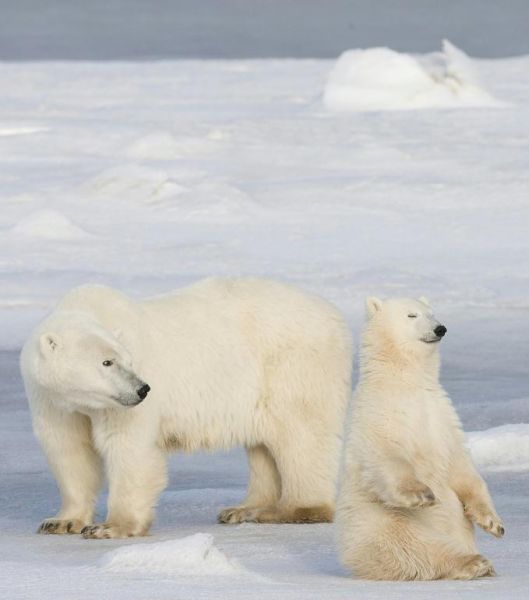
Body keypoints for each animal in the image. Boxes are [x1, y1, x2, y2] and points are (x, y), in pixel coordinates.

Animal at [20, 278, 352, 540]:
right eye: (107, 362)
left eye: (127, 360)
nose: (142, 389)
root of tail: (334, 313)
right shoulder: (51, 399)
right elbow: (69, 450)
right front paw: (61, 521)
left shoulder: (119, 406)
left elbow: (127, 447)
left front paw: (110, 527)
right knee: (262, 443)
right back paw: (244, 509)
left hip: (291, 366)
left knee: (300, 435)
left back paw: (294, 509)